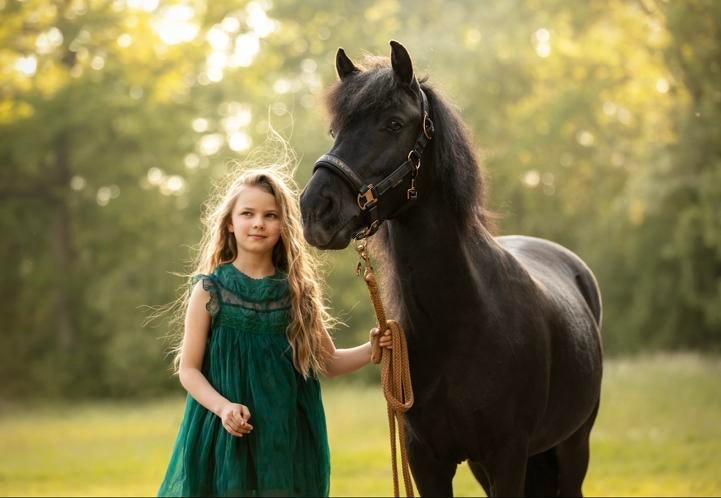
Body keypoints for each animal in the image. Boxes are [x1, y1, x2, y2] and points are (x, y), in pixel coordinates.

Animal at [299, 41, 603, 497]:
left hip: (572, 446)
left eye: (393, 123)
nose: (315, 209)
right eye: (336, 130)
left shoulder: (508, 455)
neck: (459, 320)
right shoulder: (428, 462)